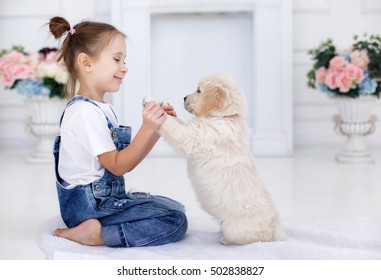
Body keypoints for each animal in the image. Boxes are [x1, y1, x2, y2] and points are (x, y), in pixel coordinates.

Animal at [156, 72, 284, 245]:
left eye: (199, 90)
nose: (183, 98)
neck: (224, 116)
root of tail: (276, 225)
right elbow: (177, 122)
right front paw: (164, 105)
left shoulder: (189, 138)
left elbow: (172, 126)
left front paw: (150, 103)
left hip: (235, 228)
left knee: (254, 240)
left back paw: (225, 240)